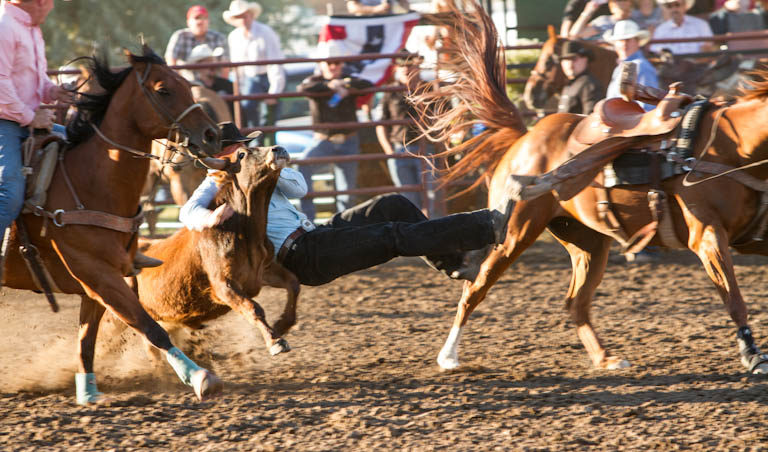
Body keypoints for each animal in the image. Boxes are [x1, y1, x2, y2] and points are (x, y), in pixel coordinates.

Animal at [2, 46, 226, 404]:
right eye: (164, 89)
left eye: (187, 85)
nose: (212, 134)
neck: (90, 184)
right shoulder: (99, 274)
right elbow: (150, 327)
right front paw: (198, 376)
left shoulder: (96, 282)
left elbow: (86, 339)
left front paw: (88, 392)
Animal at [134, 145, 300, 359]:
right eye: (242, 154)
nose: (278, 148)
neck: (245, 232)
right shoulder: (224, 285)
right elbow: (253, 308)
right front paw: (275, 341)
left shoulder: (264, 271)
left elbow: (293, 284)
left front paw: (282, 325)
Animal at [414, 1, 768, 375]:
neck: (731, 147)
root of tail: (526, 136)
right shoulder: (707, 236)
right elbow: (733, 297)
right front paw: (753, 355)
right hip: (514, 234)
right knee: (476, 287)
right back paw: (448, 356)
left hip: (588, 243)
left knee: (576, 303)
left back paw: (605, 358)